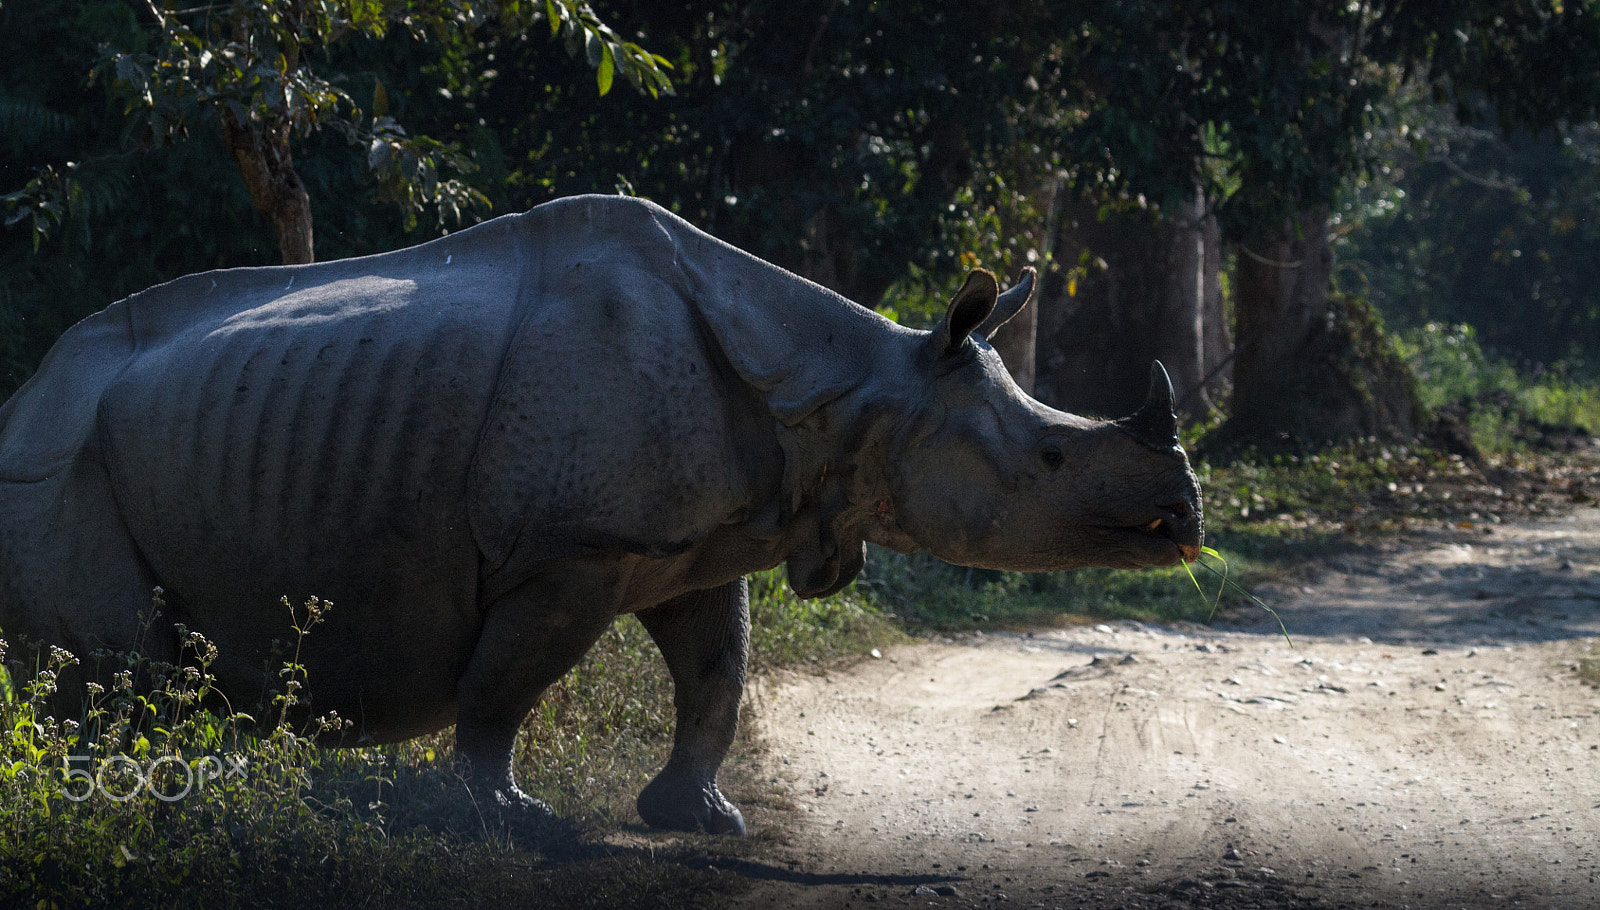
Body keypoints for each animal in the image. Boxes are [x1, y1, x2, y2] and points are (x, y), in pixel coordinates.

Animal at [0, 194, 1201, 834]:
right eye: (1051, 456)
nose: (1185, 519)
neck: (859, 392)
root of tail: (23, 394)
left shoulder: (697, 543)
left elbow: (718, 674)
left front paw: (696, 820)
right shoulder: (569, 548)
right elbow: (504, 687)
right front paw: (506, 820)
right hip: (59, 459)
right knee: (112, 670)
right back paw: (133, 807)